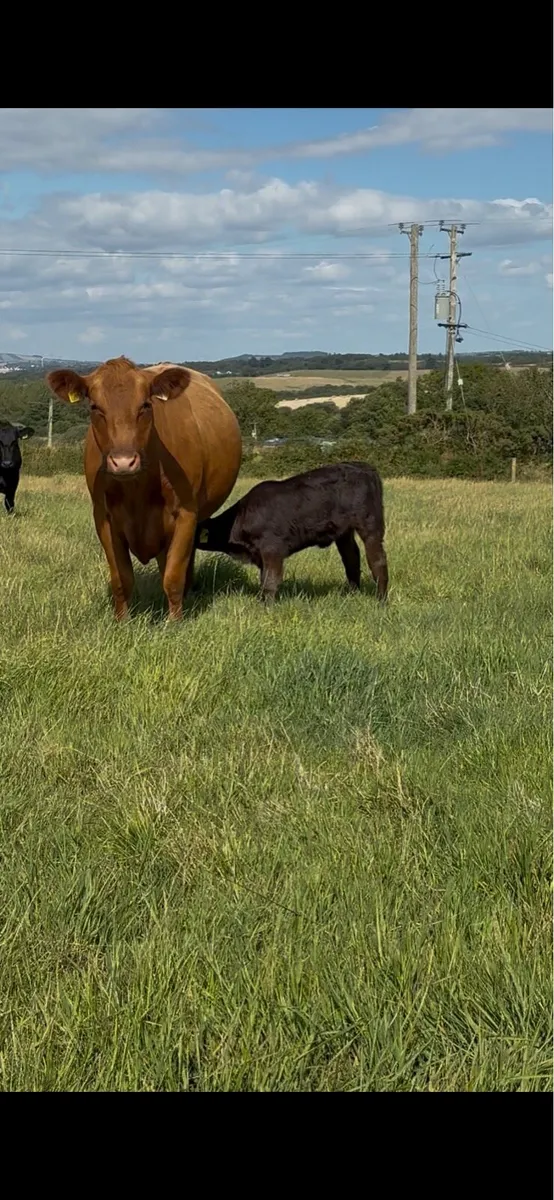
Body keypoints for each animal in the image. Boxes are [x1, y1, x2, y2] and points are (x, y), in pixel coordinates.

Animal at [45, 356, 242, 620]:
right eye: (95, 407)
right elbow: (121, 578)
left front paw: (174, 622)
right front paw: (121, 621)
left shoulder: (186, 513)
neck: (136, 491)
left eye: (146, 405)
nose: (123, 462)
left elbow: (173, 576)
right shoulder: (103, 517)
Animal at [195, 461, 388, 604]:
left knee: (377, 560)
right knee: (351, 558)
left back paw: (381, 600)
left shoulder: (272, 549)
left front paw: (267, 608)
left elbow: (270, 581)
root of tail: (365, 466)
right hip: (344, 532)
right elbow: (263, 579)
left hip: (370, 524)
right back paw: (352, 594)